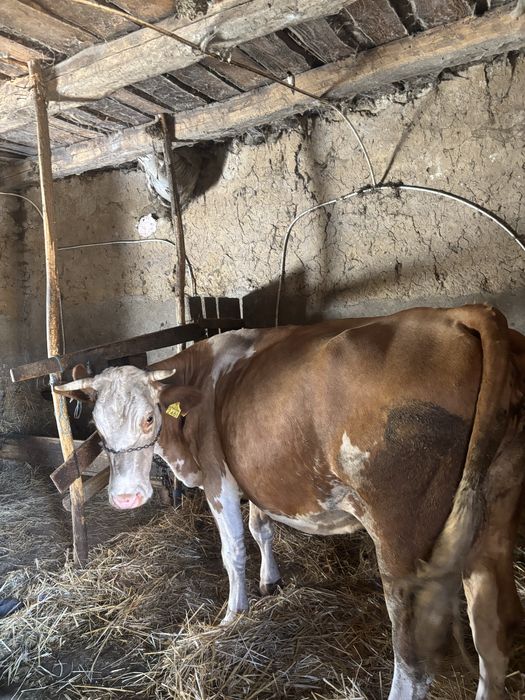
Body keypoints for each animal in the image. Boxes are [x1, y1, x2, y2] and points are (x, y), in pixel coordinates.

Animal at [55, 304, 525, 700]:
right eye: (96, 425)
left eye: (149, 417)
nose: (126, 497)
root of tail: (463, 313)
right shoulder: (255, 471)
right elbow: (261, 527)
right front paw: (271, 580)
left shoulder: (218, 476)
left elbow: (233, 550)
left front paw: (233, 614)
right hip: (491, 524)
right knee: (493, 632)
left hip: (401, 537)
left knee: (415, 657)